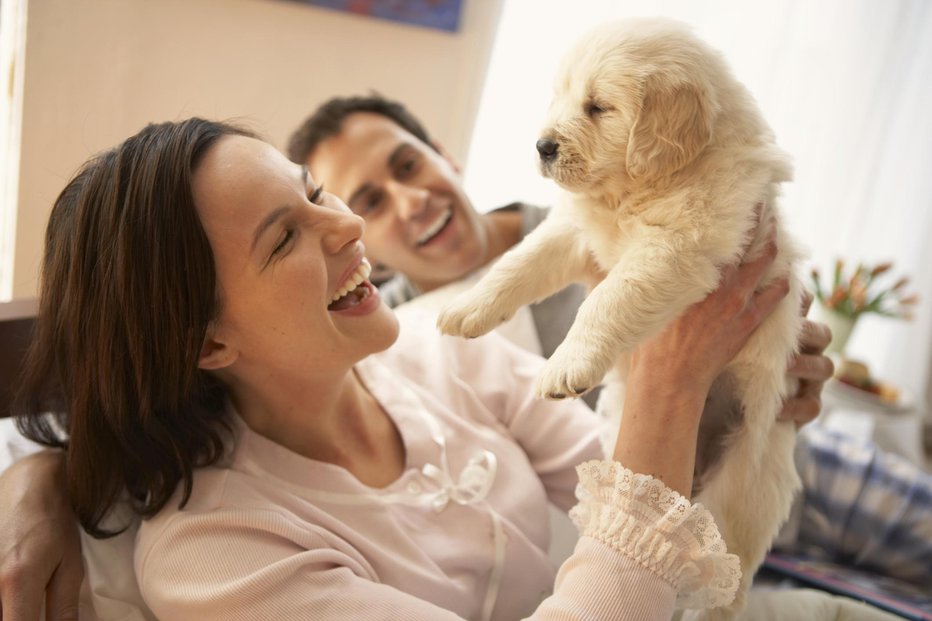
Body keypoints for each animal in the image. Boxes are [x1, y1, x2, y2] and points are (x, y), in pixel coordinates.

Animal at [438, 17, 808, 616]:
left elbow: (608, 298)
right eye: (561, 96)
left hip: (745, 494)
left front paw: (566, 365)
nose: (541, 146)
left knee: (722, 587)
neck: (634, 191)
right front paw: (466, 308)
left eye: (598, 107)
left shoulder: (677, 248)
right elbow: (518, 262)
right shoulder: (572, 231)